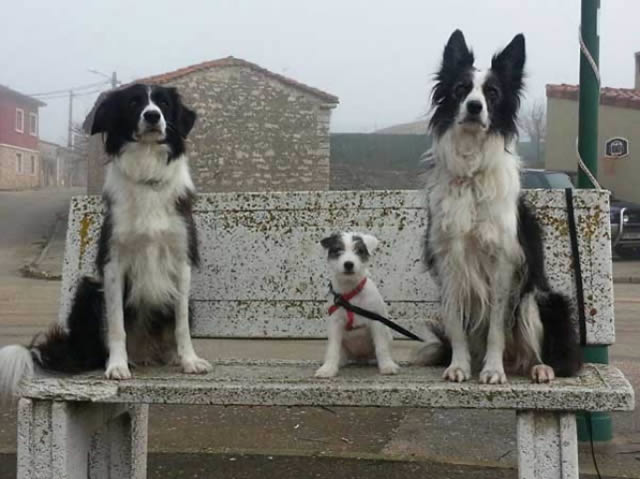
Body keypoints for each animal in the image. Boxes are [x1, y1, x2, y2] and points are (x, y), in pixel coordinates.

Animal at [0, 83, 210, 402]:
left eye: (163, 103)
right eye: (134, 103)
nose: (152, 116)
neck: (147, 168)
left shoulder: (181, 259)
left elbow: (181, 322)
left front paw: (189, 360)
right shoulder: (113, 264)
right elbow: (116, 325)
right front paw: (117, 366)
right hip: (88, 289)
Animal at [412, 30, 584, 384]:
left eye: (492, 93)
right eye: (460, 89)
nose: (475, 106)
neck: (471, 171)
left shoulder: (504, 263)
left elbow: (495, 327)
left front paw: (492, 370)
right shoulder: (450, 261)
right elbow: (456, 325)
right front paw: (459, 366)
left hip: (537, 298)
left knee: (535, 346)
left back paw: (539, 367)